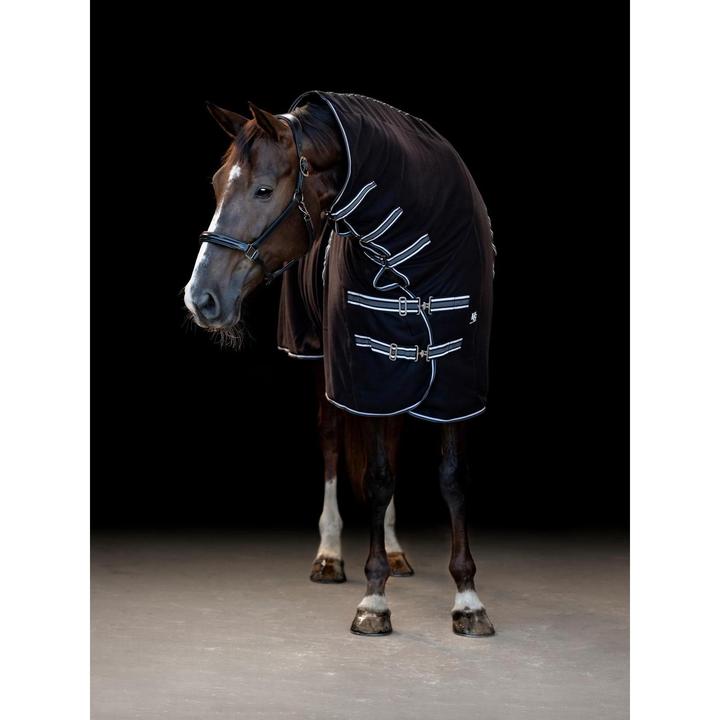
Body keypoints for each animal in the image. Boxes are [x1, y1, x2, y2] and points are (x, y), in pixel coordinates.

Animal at [184, 92, 495, 637]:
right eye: (218, 185)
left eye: (264, 189)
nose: (200, 298)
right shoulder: (363, 373)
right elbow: (375, 477)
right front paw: (374, 601)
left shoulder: (455, 380)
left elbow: (452, 478)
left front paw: (468, 599)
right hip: (322, 359)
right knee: (331, 443)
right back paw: (329, 555)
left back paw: (395, 550)